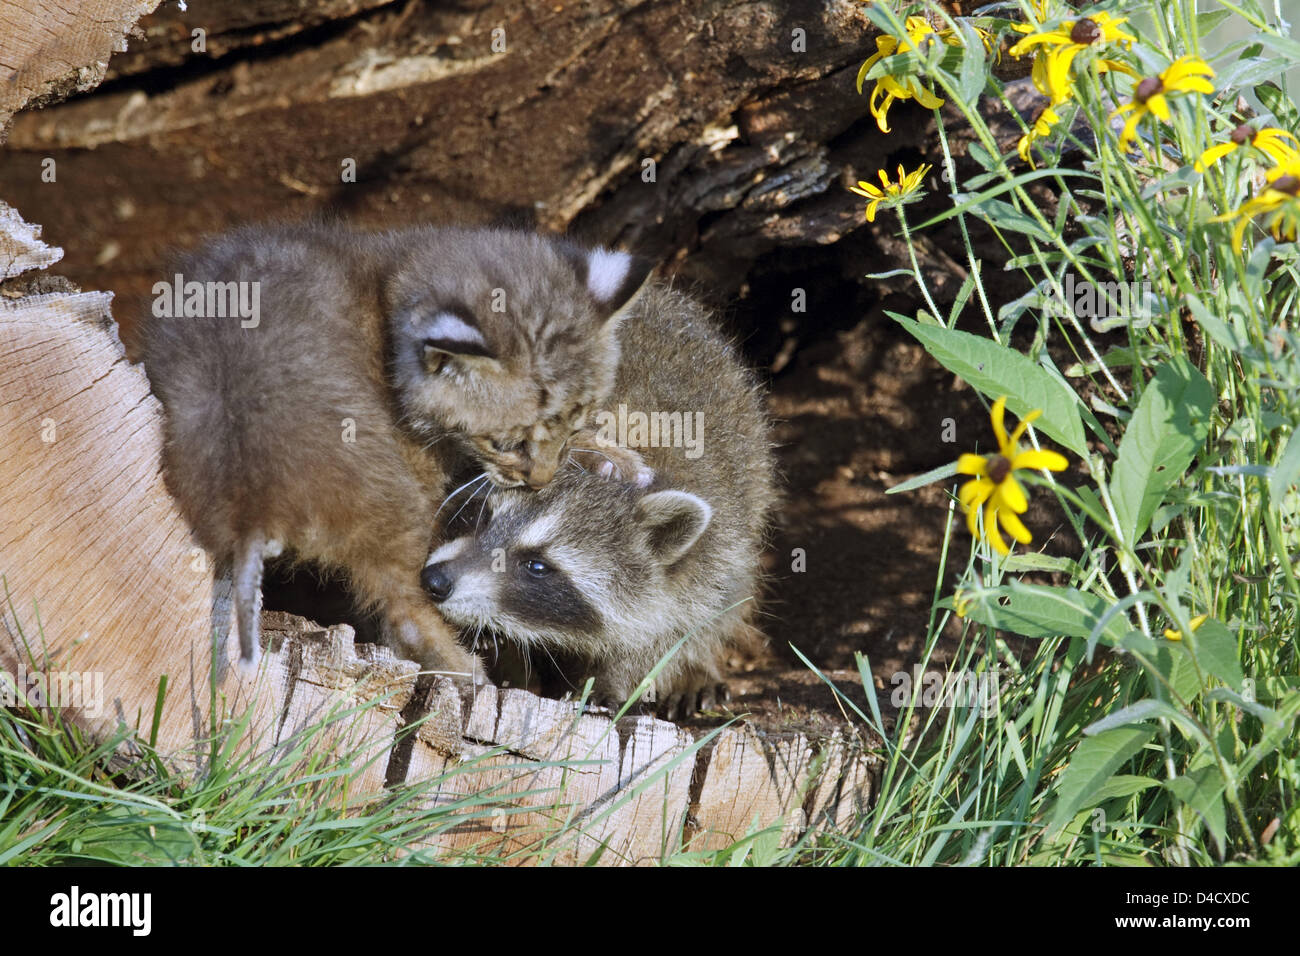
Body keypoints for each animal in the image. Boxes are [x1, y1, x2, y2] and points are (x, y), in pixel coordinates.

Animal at [139, 222, 647, 671]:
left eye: (574, 422)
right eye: (507, 443)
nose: (540, 482)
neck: (394, 281)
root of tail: (252, 494)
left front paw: (608, 457)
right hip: (391, 499)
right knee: (404, 606)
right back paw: (466, 671)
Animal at [421, 280, 774, 712]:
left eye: (537, 566)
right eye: (482, 517)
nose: (435, 580)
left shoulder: (712, 554)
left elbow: (673, 630)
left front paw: (615, 682)